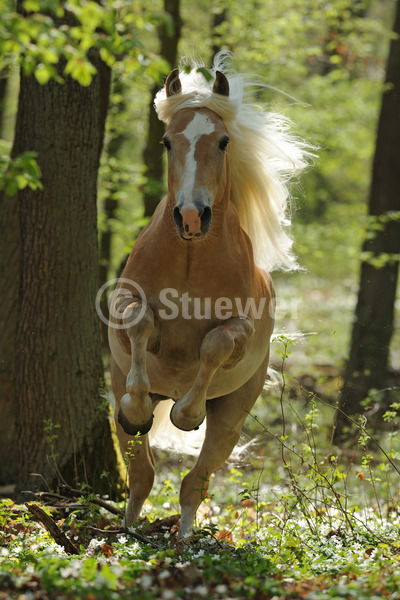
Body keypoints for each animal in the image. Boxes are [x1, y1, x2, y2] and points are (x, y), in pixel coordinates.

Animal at [107, 52, 310, 540]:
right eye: (167, 142)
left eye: (222, 141)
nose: (191, 217)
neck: (190, 259)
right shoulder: (124, 306)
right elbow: (141, 323)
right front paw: (138, 407)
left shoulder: (239, 328)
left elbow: (215, 344)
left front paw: (187, 412)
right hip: (118, 395)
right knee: (142, 476)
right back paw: (128, 530)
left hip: (231, 418)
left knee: (192, 485)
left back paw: (183, 539)